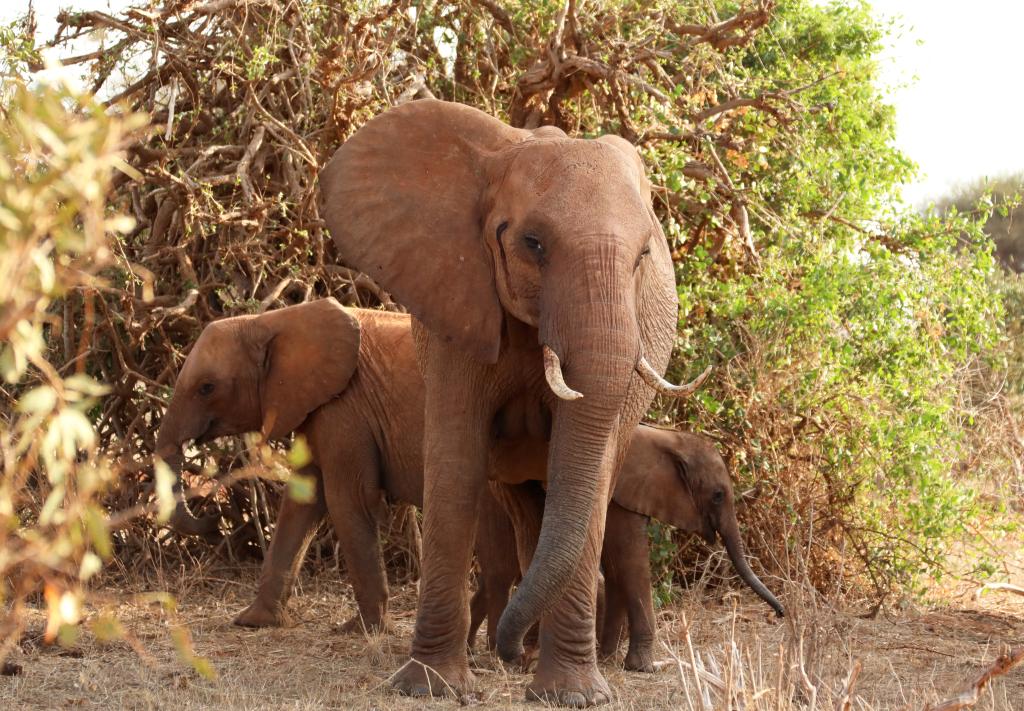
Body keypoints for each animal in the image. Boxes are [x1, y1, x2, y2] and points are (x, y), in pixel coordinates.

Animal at [152, 297, 423, 631]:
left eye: (207, 387)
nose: (215, 513)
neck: (271, 321)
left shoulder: (345, 408)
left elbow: (349, 499)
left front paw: (361, 629)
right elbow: (302, 500)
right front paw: (253, 621)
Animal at [317, 100, 704, 708]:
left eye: (644, 255)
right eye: (534, 244)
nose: (502, 646)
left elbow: (592, 475)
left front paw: (573, 696)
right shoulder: (456, 299)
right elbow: (455, 462)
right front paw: (427, 686)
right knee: (525, 509)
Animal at [471, 426, 782, 676]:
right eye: (718, 496)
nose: (780, 613)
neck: (668, 439)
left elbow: (615, 566)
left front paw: (607, 657)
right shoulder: (623, 493)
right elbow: (629, 560)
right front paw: (642, 667)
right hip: (491, 505)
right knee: (500, 574)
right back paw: (498, 655)